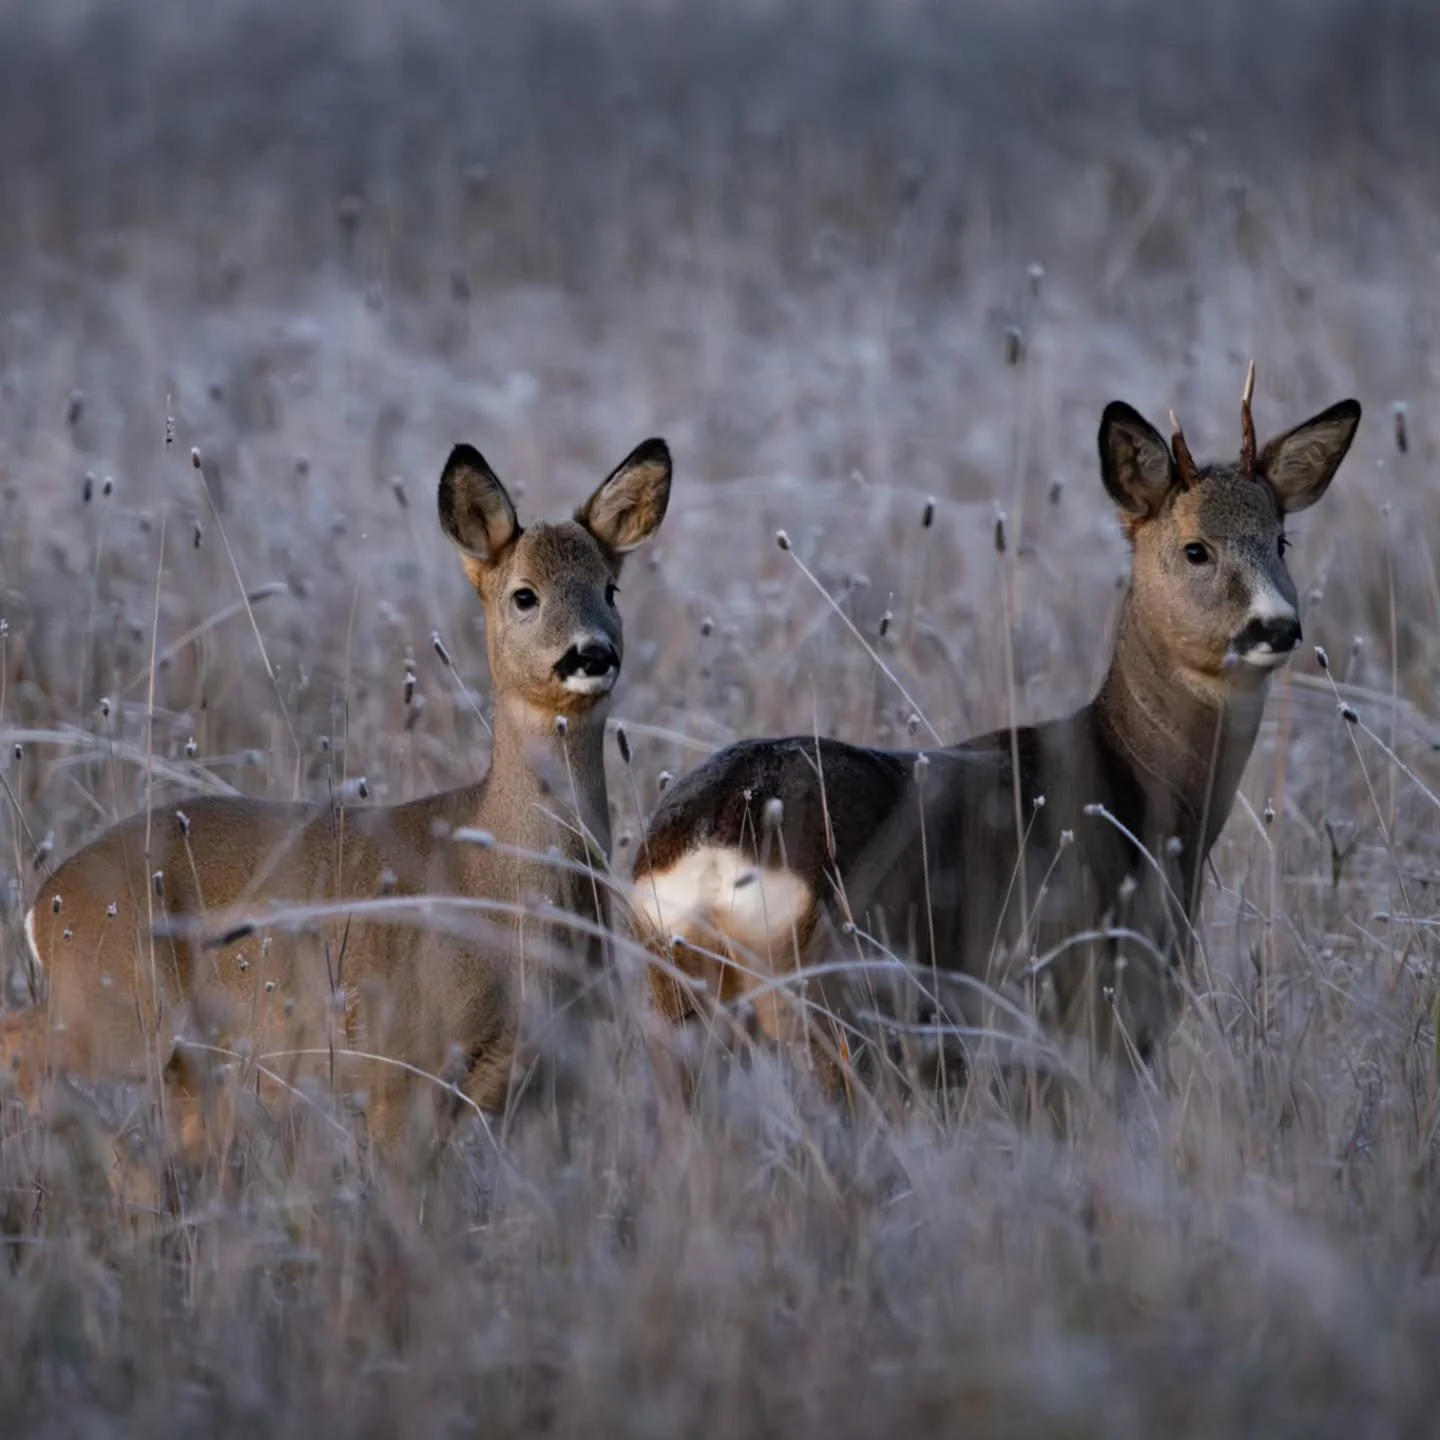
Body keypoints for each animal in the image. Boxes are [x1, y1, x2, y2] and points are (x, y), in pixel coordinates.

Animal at [2, 435, 673, 1158]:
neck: (501, 879)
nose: (591, 654)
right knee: (23, 1045)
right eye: (525, 595)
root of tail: (44, 904)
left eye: (610, 588)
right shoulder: (400, 1066)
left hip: (184, 1056)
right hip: (116, 1005)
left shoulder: (551, 1081)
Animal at [626, 369, 1359, 1102]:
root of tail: (713, 846)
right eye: (1195, 549)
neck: (1144, 784)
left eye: (1281, 541)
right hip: (845, 998)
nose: (1276, 627)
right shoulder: (1103, 998)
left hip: (684, 1001)